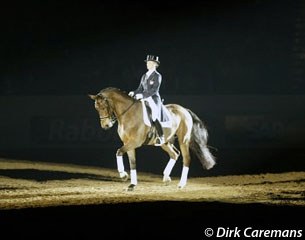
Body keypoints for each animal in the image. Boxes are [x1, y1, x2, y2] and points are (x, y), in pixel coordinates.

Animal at [88, 87, 216, 190]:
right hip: (165, 142)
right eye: (96, 108)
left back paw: (181, 184)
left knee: (186, 159)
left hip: (183, 139)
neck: (128, 114)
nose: (105, 126)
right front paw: (132, 185)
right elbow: (132, 162)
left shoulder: (135, 142)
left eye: (104, 106)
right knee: (174, 154)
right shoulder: (128, 143)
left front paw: (123, 175)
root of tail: (184, 110)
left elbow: (118, 151)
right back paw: (166, 178)